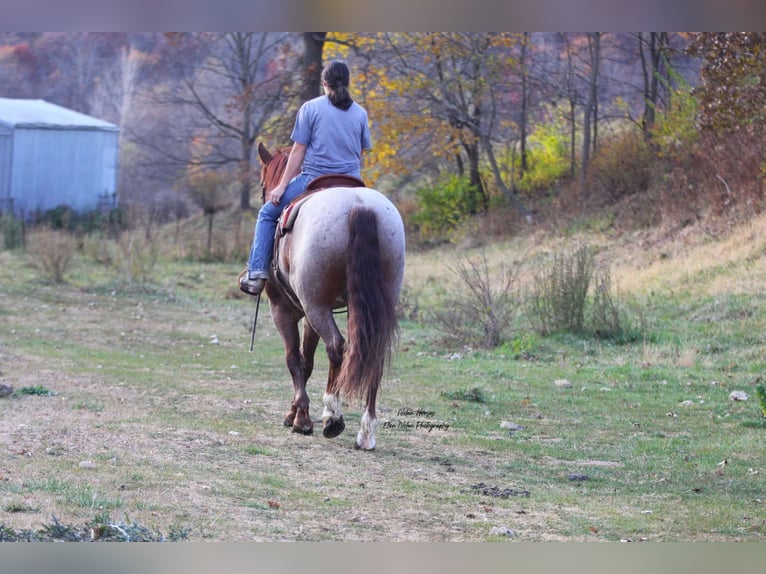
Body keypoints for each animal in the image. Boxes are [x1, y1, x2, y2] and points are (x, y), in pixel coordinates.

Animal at [254, 143, 408, 450]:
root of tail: (360, 206)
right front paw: (296, 413)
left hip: (316, 306)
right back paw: (366, 432)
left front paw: (300, 418)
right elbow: (306, 362)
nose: (269, 196)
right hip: (368, 304)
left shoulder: (285, 309)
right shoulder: (311, 313)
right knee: (371, 354)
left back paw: (332, 416)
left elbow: (294, 358)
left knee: (337, 347)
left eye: (262, 184)